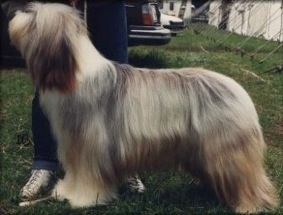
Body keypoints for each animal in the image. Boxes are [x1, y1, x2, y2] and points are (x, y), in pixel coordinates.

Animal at [4, 2, 280, 213]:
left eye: (33, 19)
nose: (13, 15)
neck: (73, 70)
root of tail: (240, 92)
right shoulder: (74, 146)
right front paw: (64, 192)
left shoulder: (89, 147)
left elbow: (88, 178)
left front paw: (82, 199)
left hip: (227, 150)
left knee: (249, 182)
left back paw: (249, 205)